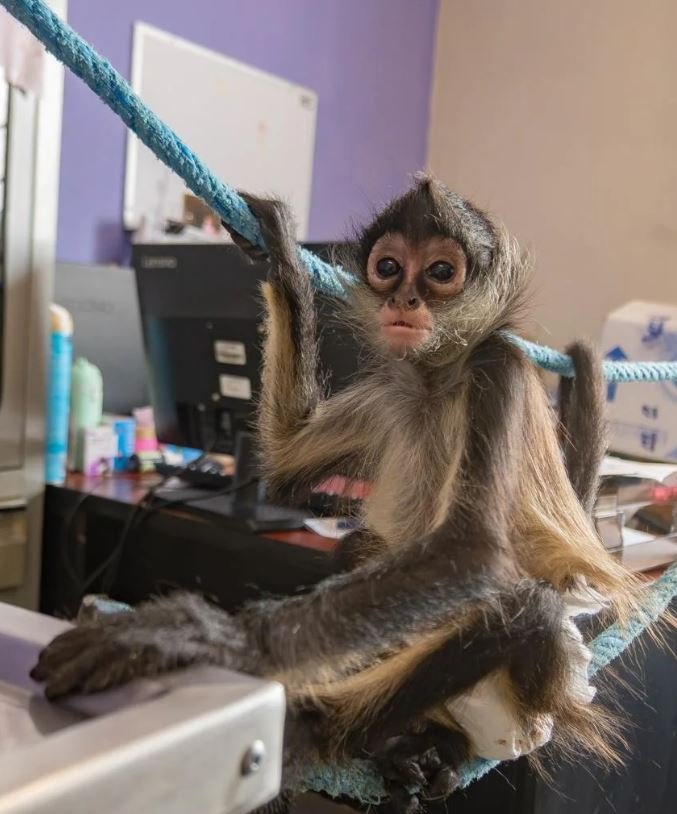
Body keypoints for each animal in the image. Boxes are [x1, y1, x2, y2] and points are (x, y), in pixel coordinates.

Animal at [31, 176, 643, 813]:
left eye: (441, 272)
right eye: (389, 267)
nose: (405, 300)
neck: (435, 379)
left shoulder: (499, 365)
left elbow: (472, 552)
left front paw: (204, 637)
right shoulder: (388, 389)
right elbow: (286, 459)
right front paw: (281, 253)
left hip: (534, 692)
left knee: (530, 613)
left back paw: (312, 728)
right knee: (362, 553)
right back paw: (415, 749)